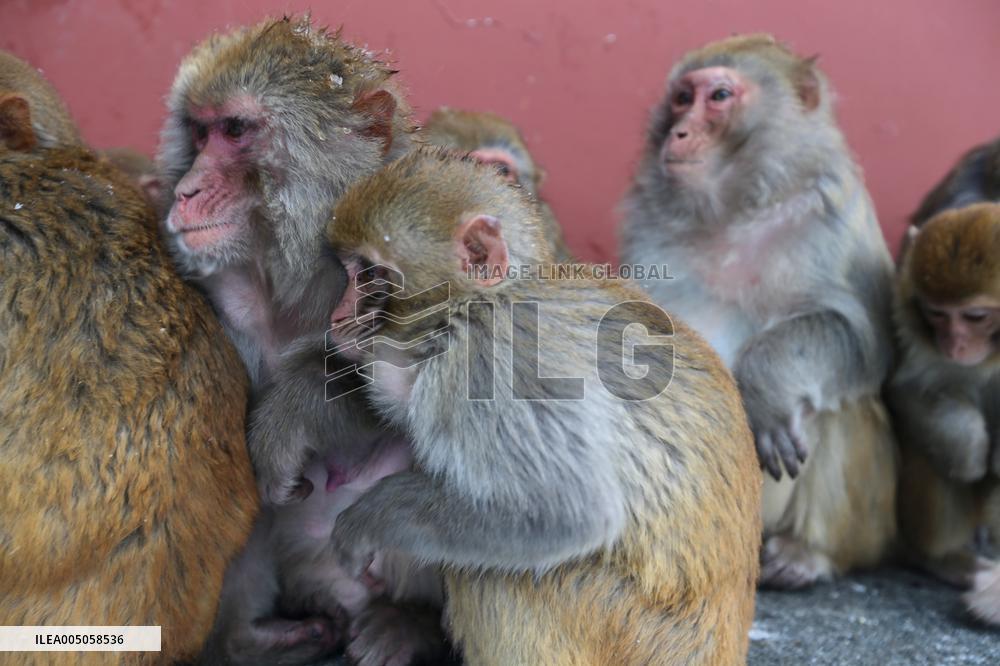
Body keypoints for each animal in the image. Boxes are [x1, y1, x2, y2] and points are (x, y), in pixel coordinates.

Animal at [156, 18, 447, 664]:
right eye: (200, 131)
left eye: (236, 131)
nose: (185, 191)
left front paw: (292, 413)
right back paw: (255, 639)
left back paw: (410, 625)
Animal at [318, 147, 761, 665]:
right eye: (349, 271)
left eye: (368, 274)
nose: (337, 317)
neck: (476, 306)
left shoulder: (496, 364)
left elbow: (566, 514)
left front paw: (375, 517)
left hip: (629, 630)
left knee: (494, 574)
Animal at [620, 34, 898, 588]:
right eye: (682, 98)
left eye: (720, 96)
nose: (678, 132)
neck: (737, 213)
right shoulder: (646, 226)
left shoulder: (834, 216)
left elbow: (862, 338)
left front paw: (765, 391)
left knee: (842, 405)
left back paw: (806, 554)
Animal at [888, 204, 1000, 621]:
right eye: (936, 313)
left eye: (975, 316)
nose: (953, 344)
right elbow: (907, 390)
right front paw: (971, 451)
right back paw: (942, 558)